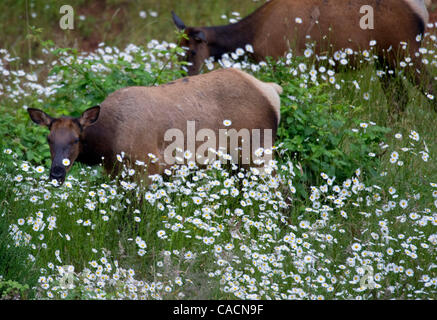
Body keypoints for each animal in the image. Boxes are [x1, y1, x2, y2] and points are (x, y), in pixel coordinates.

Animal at [27, 69, 282, 186]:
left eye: (76, 140)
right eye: (49, 140)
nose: (56, 173)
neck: (107, 146)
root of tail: (272, 90)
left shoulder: (147, 167)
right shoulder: (118, 174)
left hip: (256, 151)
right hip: (236, 162)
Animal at [172, 0, 434, 111]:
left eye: (192, 51)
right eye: (176, 50)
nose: (184, 77)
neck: (252, 39)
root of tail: (422, 12)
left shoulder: (282, 58)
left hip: (405, 50)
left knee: (429, 89)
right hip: (384, 58)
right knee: (399, 99)